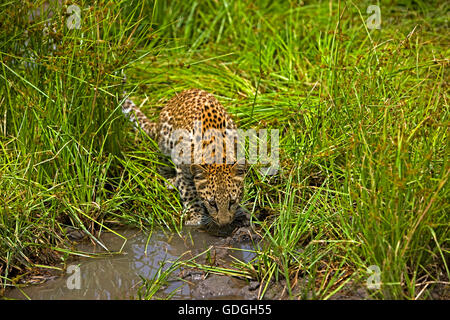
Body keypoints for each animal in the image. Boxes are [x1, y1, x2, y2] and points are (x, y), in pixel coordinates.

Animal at [122, 89, 246, 234]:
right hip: (164, 142)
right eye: (212, 203)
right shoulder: (183, 169)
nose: (224, 223)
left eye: (232, 201)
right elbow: (189, 193)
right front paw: (195, 217)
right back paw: (170, 179)